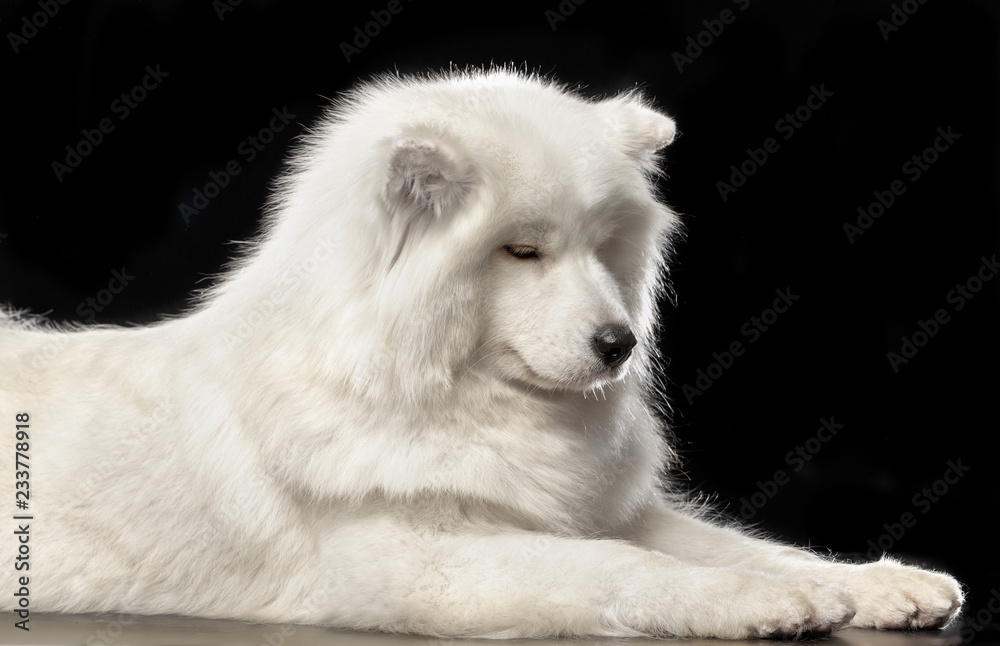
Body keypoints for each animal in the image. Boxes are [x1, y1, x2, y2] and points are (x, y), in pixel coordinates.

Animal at [3, 68, 964, 640]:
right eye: (522, 251)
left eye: (602, 246)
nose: (620, 343)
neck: (444, 398)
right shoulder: (426, 565)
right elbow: (625, 568)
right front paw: (765, 606)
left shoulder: (603, 511)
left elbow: (748, 545)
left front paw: (876, 584)